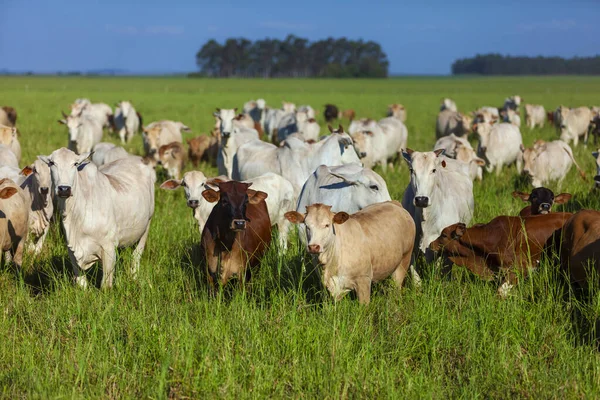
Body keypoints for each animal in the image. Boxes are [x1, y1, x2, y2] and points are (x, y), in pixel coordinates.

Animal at [40, 148, 155, 290]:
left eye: (75, 163)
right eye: (51, 163)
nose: (64, 189)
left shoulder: (108, 247)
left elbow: (106, 285)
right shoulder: (72, 250)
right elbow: (81, 283)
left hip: (146, 226)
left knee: (136, 257)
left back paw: (134, 277)